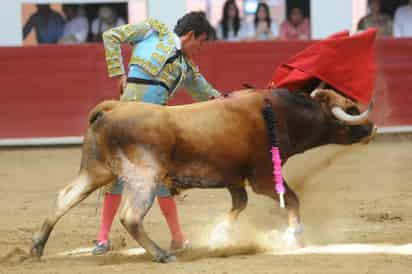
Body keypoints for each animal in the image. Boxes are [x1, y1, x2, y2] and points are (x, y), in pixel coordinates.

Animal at [30, 88, 374, 264]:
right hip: (144, 178)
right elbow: (290, 199)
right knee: (130, 216)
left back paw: (36, 248)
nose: (371, 127)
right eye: (349, 109)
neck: (278, 114)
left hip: (96, 171)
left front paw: (220, 235)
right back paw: (162, 255)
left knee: (65, 197)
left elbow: (239, 204)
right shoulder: (263, 176)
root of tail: (112, 109)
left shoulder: (235, 179)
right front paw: (294, 237)